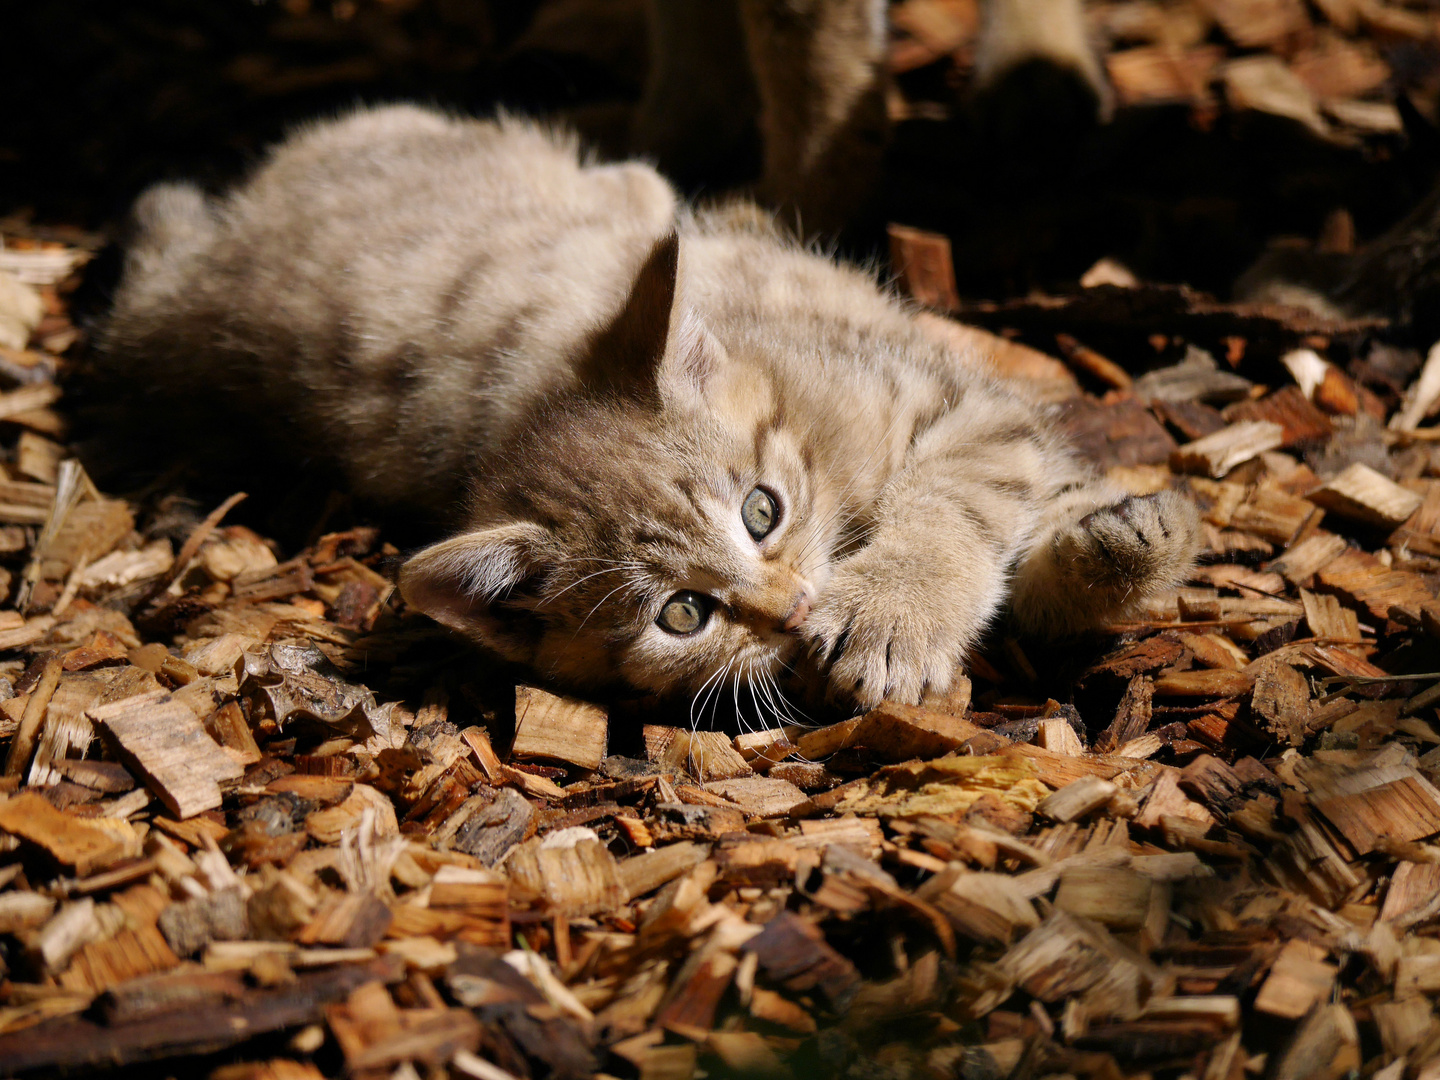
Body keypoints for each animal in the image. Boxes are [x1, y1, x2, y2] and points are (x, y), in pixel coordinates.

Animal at [101, 108, 1198, 720]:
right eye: (683, 616)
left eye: (762, 510)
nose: (788, 612)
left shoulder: (955, 395)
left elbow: (974, 495)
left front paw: (1094, 554)